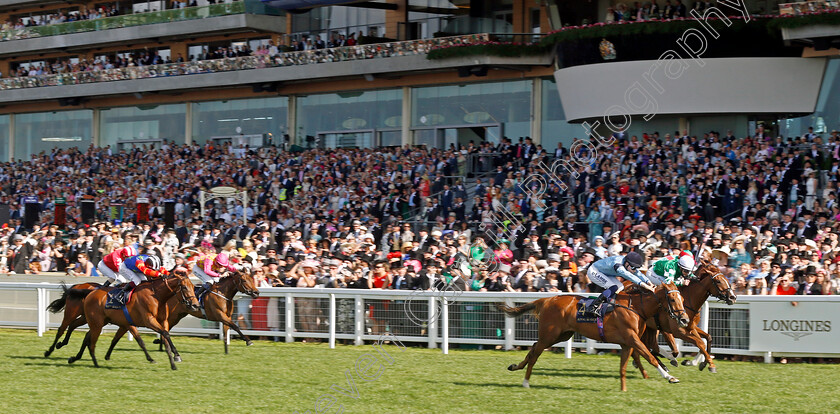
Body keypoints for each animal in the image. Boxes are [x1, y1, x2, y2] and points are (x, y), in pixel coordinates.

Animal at [65, 270, 199, 370]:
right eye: (184, 287)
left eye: (193, 287)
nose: (195, 305)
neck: (156, 295)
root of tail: (90, 292)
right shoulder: (148, 320)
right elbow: (163, 335)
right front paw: (176, 355)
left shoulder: (163, 321)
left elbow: (165, 339)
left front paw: (173, 363)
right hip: (96, 323)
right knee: (88, 339)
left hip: (99, 322)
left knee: (87, 337)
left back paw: (74, 357)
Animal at [498, 284, 688, 392]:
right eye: (672, 299)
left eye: (683, 298)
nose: (685, 319)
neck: (636, 308)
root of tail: (546, 300)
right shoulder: (633, 338)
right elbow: (650, 357)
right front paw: (670, 377)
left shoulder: (627, 343)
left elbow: (623, 367)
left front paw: (623, 390)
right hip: (550, 334)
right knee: (535, 352)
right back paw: (525, 382)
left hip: (560, 335)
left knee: (533, 347)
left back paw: (515, 367)